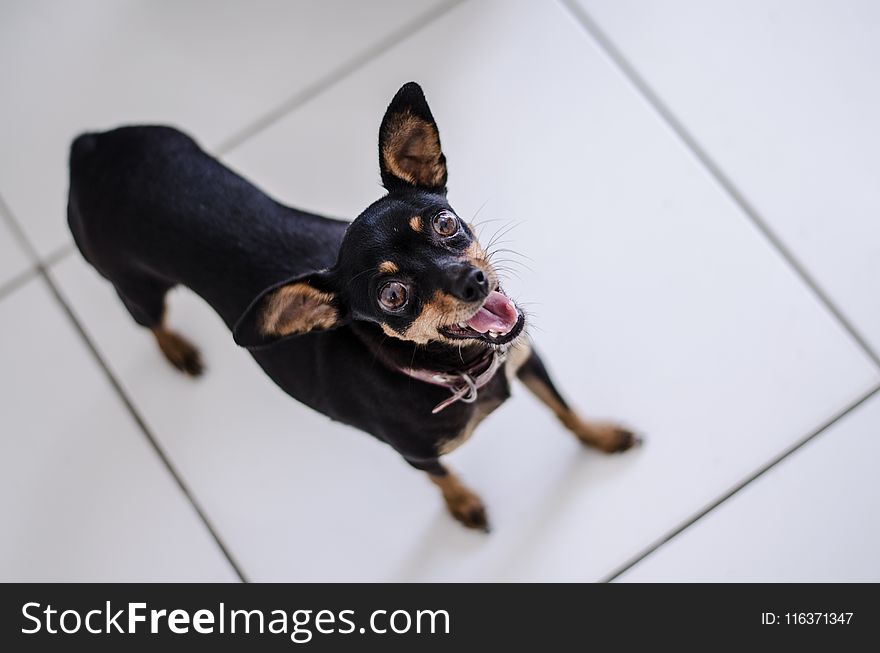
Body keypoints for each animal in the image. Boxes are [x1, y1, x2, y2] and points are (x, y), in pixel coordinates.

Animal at [65, 83, 636, 528]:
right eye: (393, 296)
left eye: (445, 223)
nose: (474, 282)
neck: (460, 373)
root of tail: (88, 149)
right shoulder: (416, 457)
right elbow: (444, 479)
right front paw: (464, 506)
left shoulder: (528, 361)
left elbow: (565, 411)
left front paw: (602, 436)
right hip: (134, 286)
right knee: (150, 323)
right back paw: (177, 349)